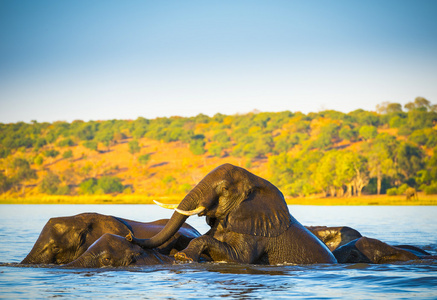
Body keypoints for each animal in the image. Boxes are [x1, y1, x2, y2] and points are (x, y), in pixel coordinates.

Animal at [126, 164, 338, 264]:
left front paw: (182, 257)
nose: (129, 236)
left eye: (225, 189)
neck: (255, 182)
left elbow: (239, 258)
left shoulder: (255, 234)